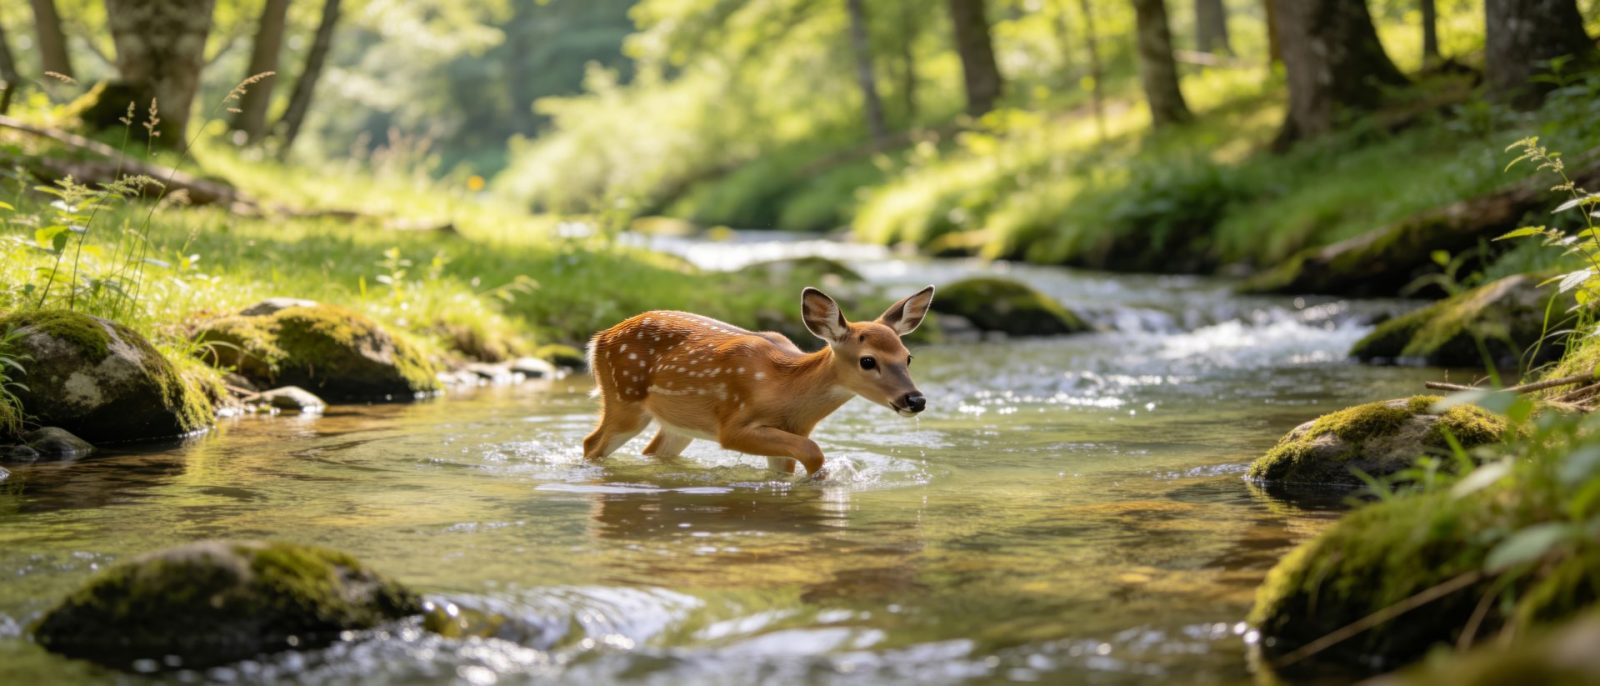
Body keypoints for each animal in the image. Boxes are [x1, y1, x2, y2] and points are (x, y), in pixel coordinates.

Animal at [582, 285, 935, 477]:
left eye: (907, 357)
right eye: (868, 360)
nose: (915, 399)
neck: (784, 388)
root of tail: (598, 339)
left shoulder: (794, 432)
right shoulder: (733, 426)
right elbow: (813, 451)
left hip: (678, 423)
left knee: (652, 451)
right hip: (624, 397)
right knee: (591, 443)